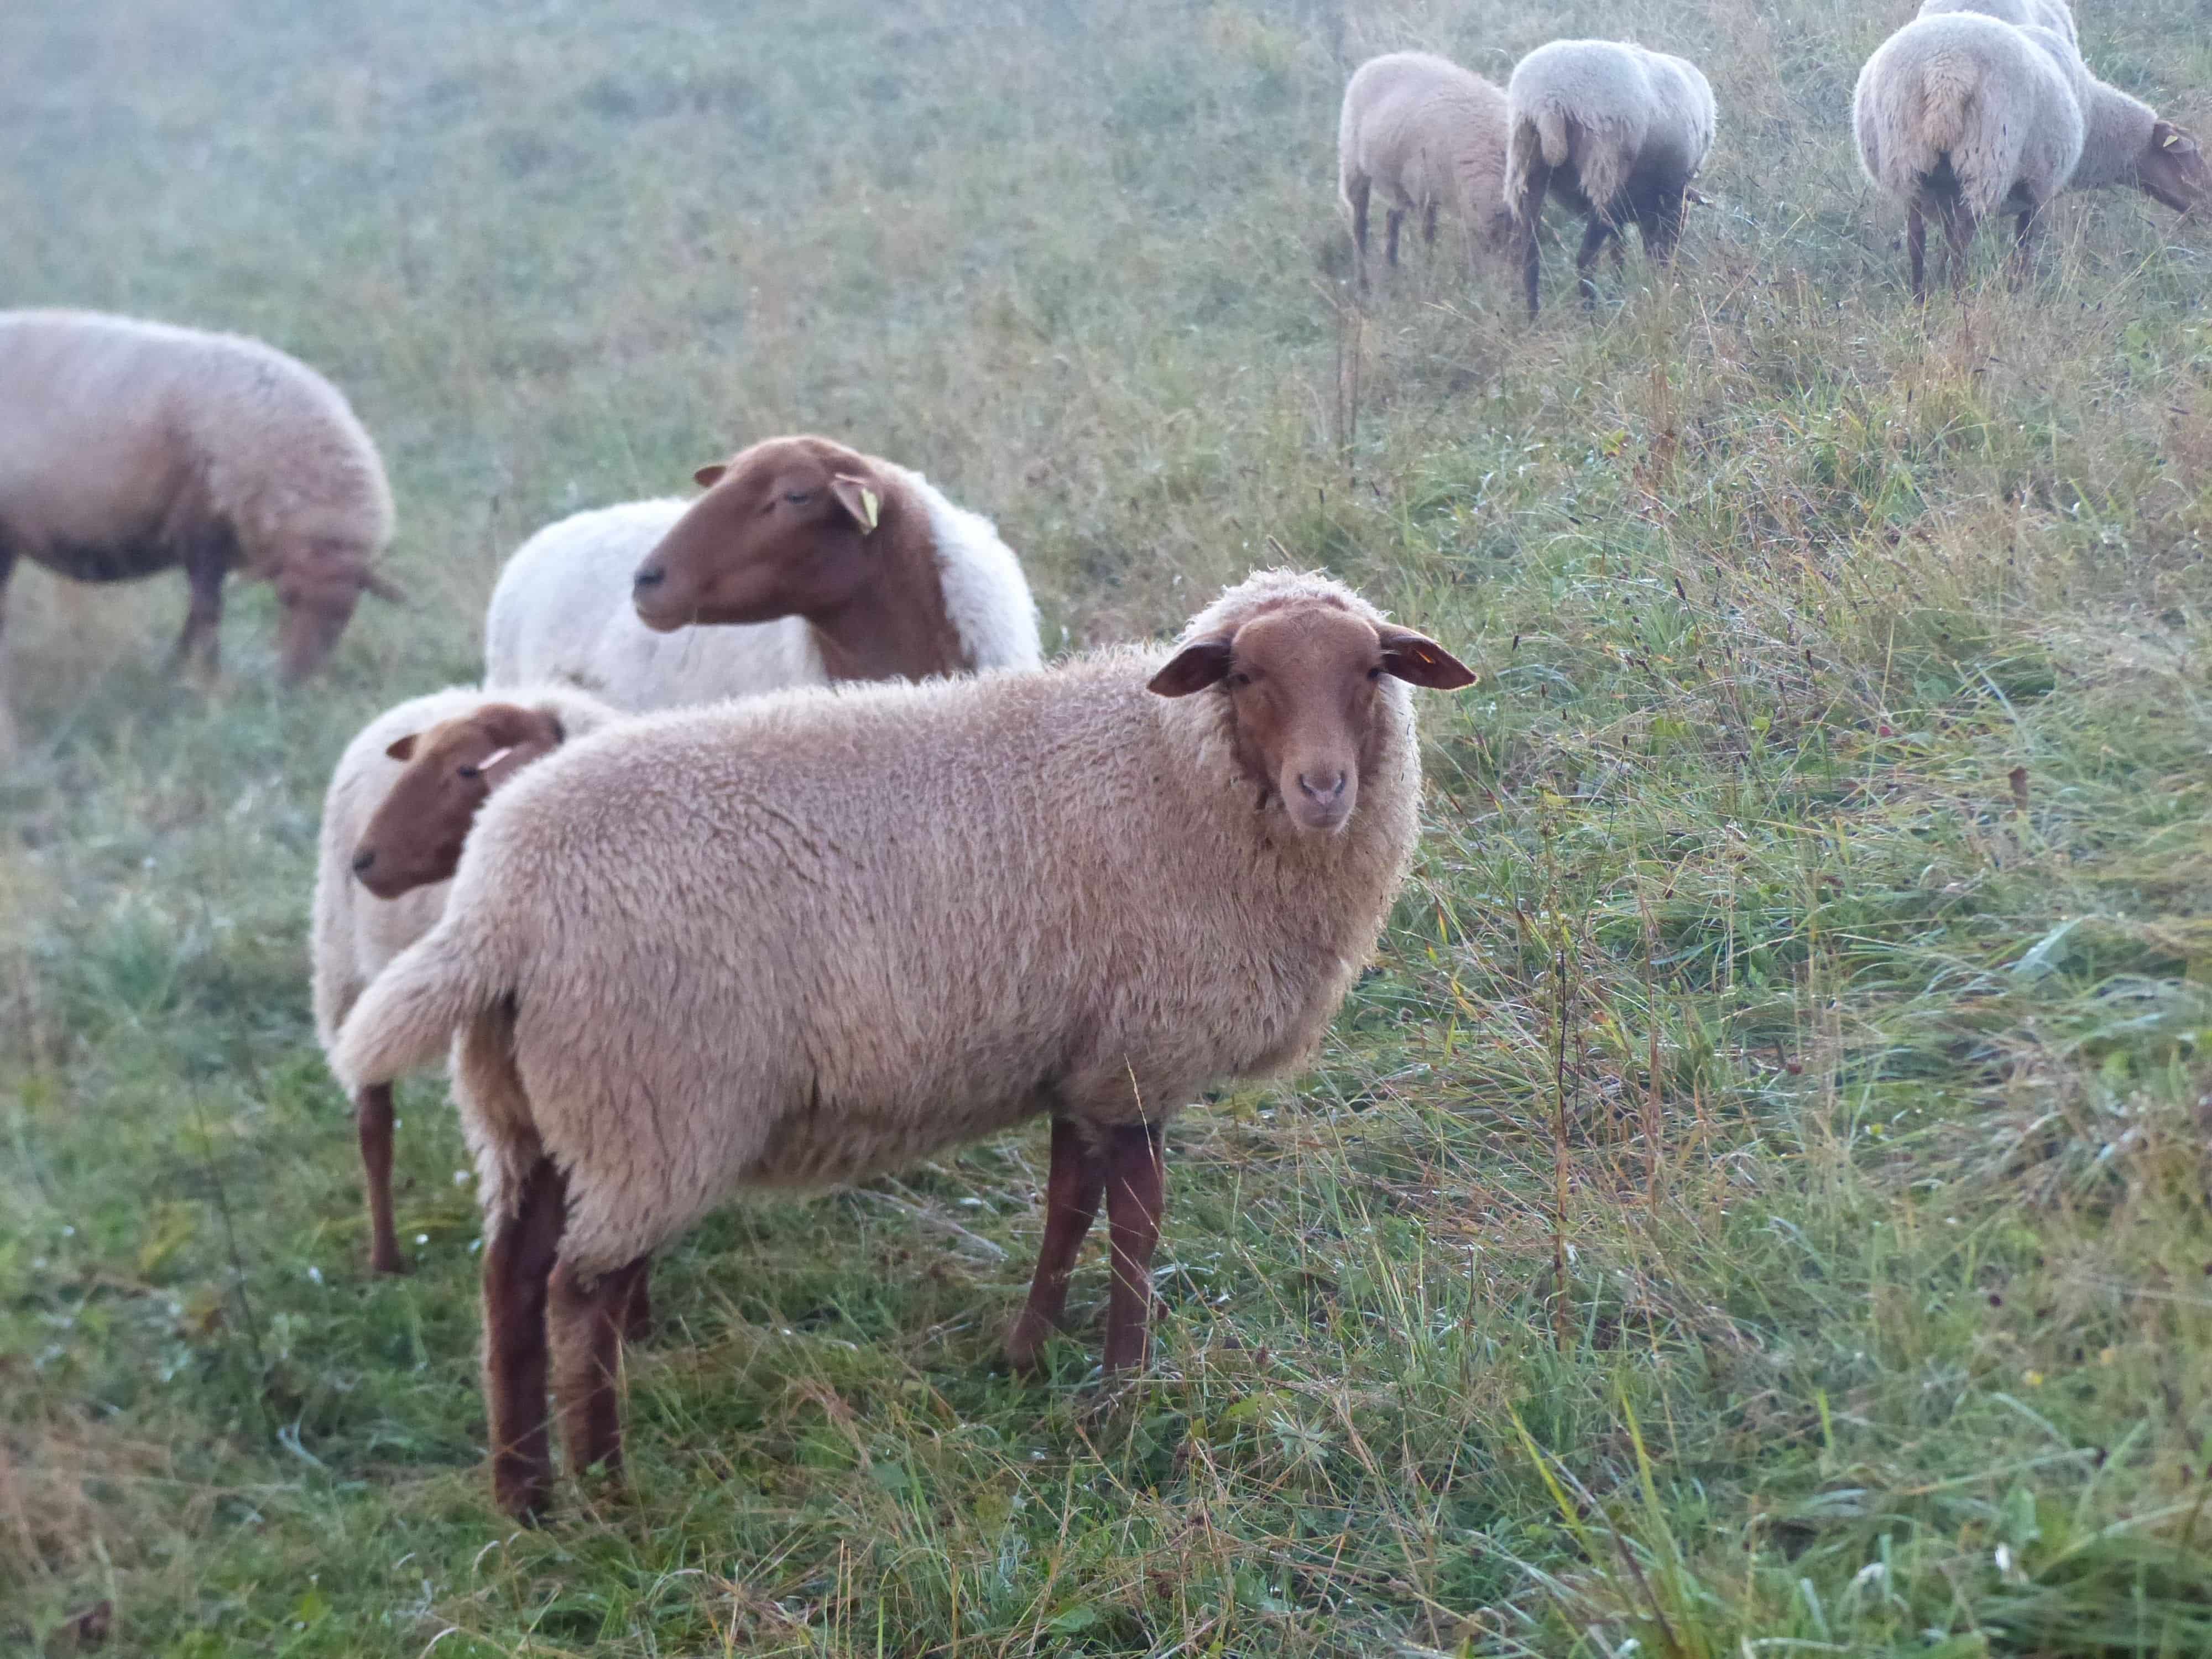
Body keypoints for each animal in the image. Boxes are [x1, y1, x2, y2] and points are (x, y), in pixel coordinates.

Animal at [0, 309, 397, 749]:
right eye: (286, 598)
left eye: (347, 612)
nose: (292, 683)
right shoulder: (202, 537)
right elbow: (207, 614)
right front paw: (205, 681)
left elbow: (198, 614)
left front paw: (175, 672)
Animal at [1336, 52, 1522, 297]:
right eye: (1493, 247)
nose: (1510, 293)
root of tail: (1378, 60)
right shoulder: (1424, 192)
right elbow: (1429, 237)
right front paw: (1429, 274)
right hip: (1355, 167)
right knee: (1359, 226)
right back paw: (1364, 285)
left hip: (1400, 186)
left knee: (1391, 217)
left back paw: (1392, 267)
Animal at [1503, 40, 1717, 315]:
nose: (1667, 274)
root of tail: (1550, 100)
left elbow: (1619, 249)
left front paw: (1619, 291)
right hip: (1603, 168)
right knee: (1585, 258)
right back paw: (1593, 317)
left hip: (1528, 165)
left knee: (1530, 259)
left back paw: (1535, 319)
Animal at [1854, 11, 2211, 299]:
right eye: (2190, 158)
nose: (2208, 209)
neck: (2096, 122)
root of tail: (1946, 69)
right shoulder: (2037, 185)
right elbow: (2024, 247)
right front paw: (2019, 292)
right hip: (1985, 161)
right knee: (1962, 241)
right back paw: (1959, 300)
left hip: (1906, 162)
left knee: (1916, 240)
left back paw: (1920, 302)